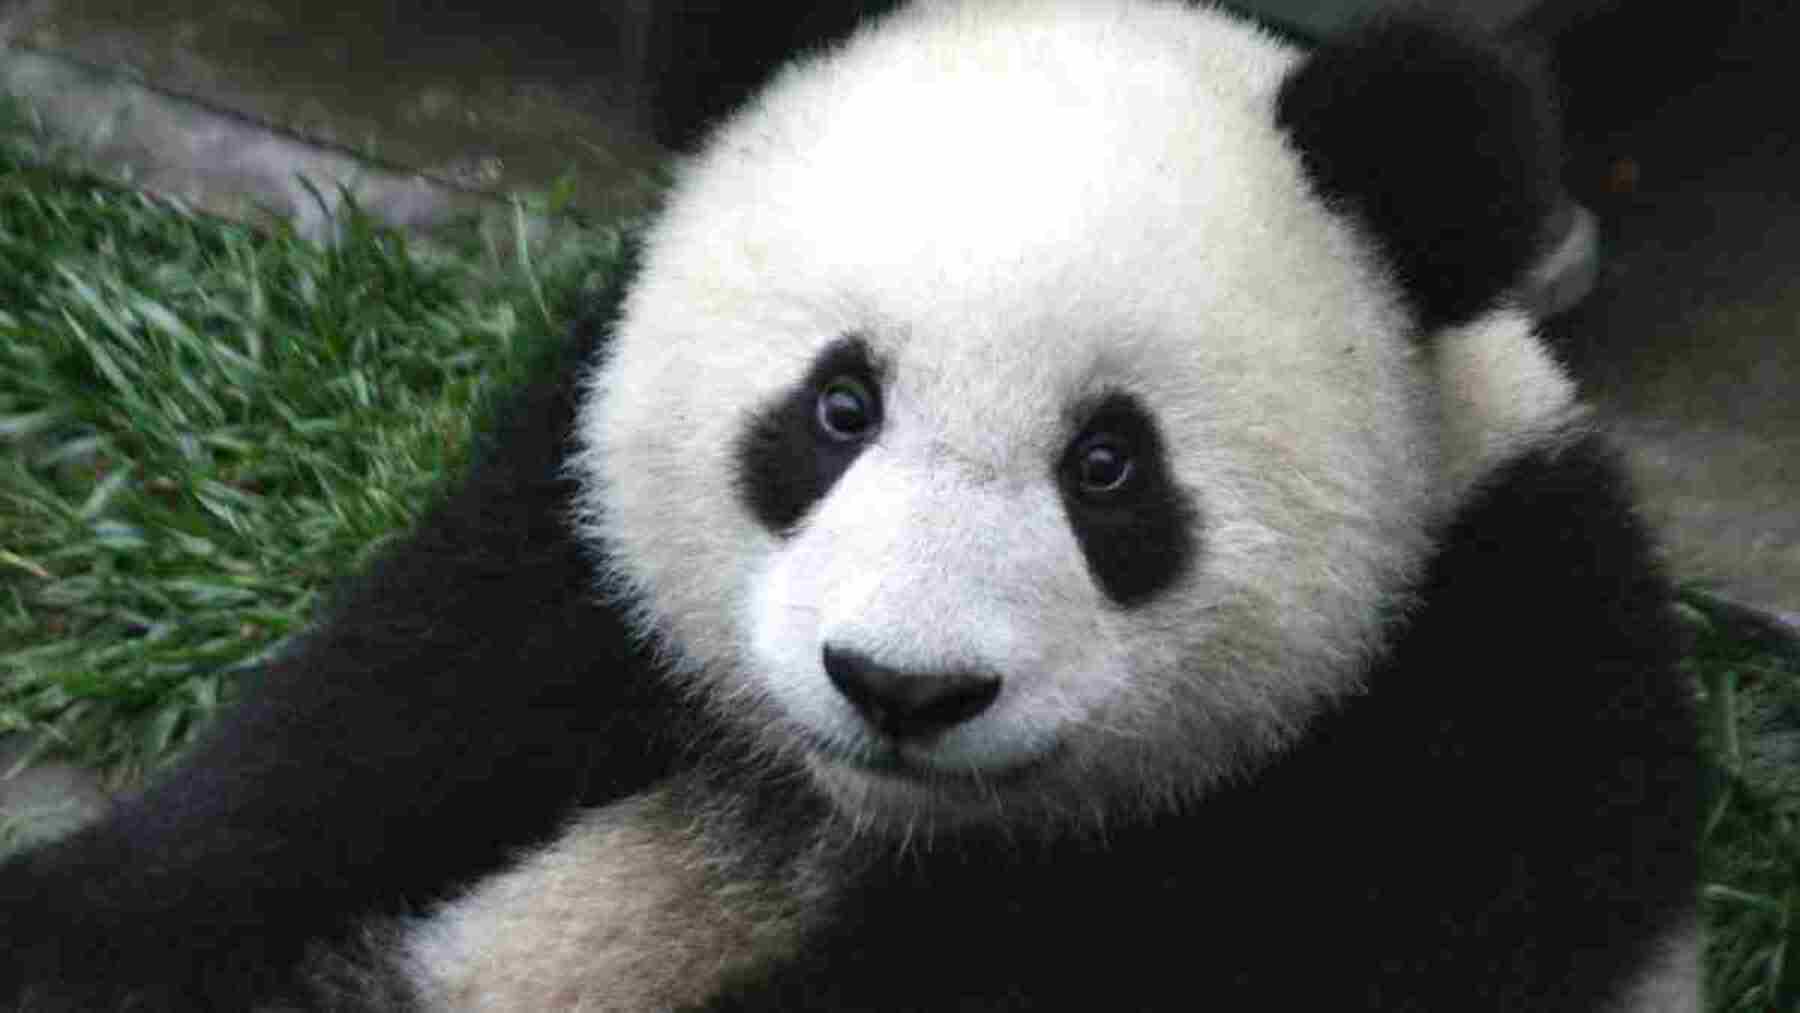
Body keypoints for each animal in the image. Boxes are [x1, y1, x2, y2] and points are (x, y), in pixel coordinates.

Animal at [1, 1, 1698, 1010]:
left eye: (1110, 466)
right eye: (837, 407)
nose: (903, 687)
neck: (860, 814)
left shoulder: (1442, 762)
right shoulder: (574, 537)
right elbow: (362, 731)